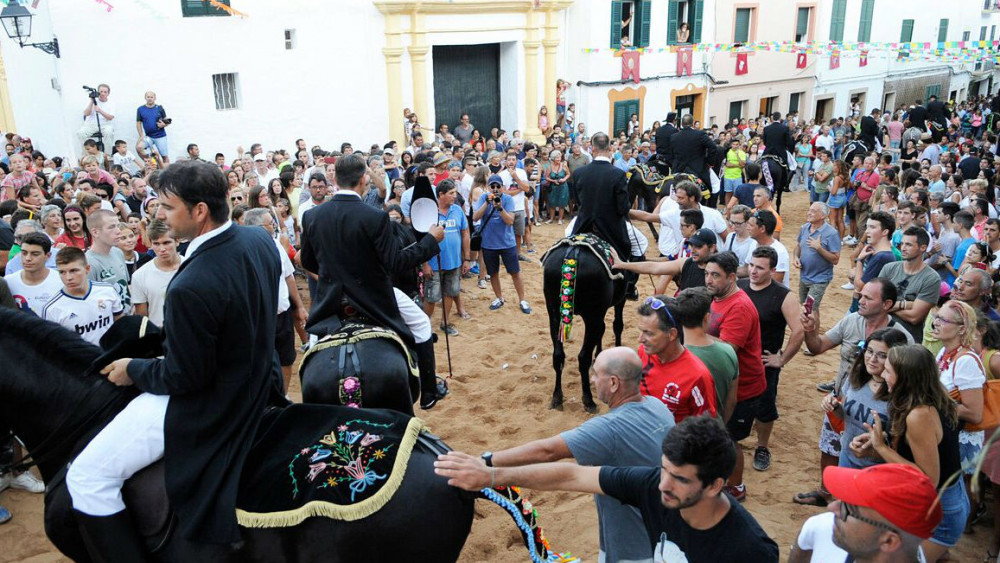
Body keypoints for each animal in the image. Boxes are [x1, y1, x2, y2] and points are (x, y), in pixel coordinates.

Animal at [544, 236, 620, 412]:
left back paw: (557, 398)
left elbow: (604, 329)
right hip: (592, 315)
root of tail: (573, 251)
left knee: (558, 356)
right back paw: (589, 400)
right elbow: (617, 325)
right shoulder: (618, 301)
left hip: (554, 315)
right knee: (583, 357)